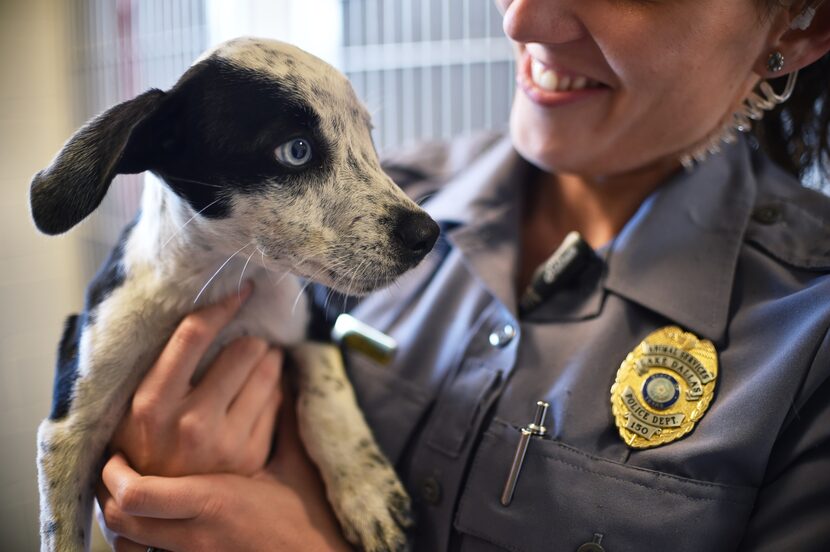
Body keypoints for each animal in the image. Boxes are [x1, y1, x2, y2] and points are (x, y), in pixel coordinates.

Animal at [29, 37, 438, 552]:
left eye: (368, 137)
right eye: (297, 150)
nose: (429, 235)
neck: (219, 279)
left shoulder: (312, 323)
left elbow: (327, 398)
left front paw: (367, 491)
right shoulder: (69, 426)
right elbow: (60, 529)